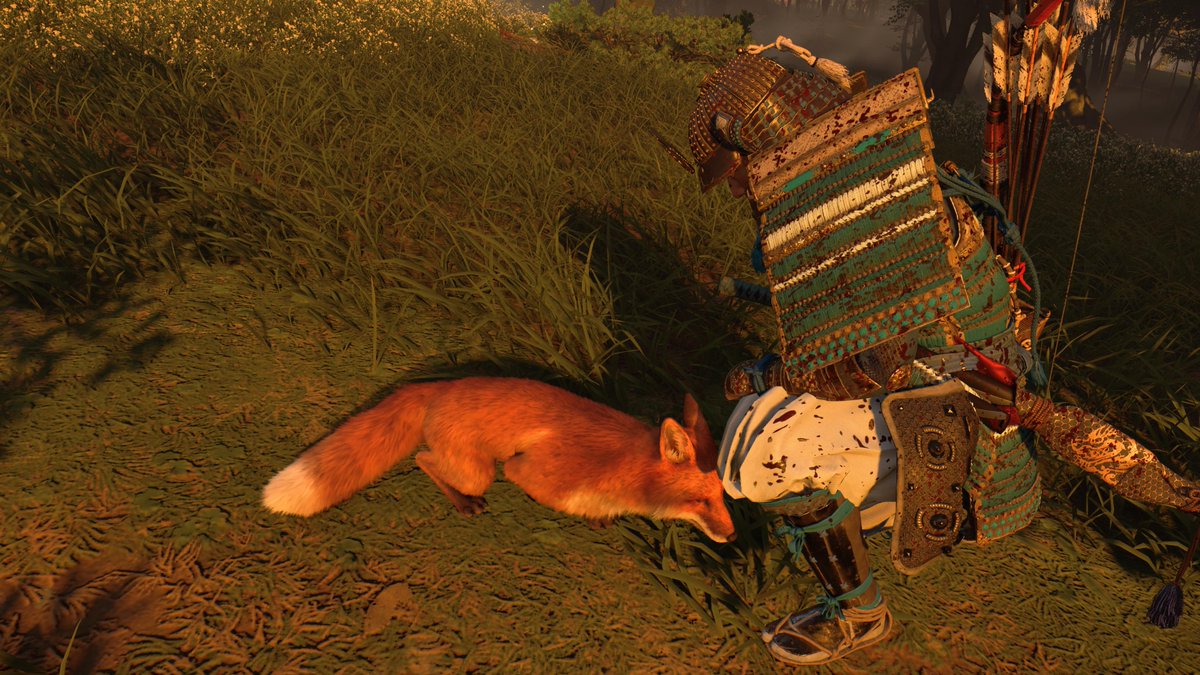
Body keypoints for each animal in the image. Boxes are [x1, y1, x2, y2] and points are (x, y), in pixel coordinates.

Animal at [261, 377, 736, 543]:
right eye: (700, 501)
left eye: (723, 498)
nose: (732, 536)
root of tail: (440, 385)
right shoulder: (528, 470)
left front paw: (597, 518)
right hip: (481, 472)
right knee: (423, 459)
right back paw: (462, 502)